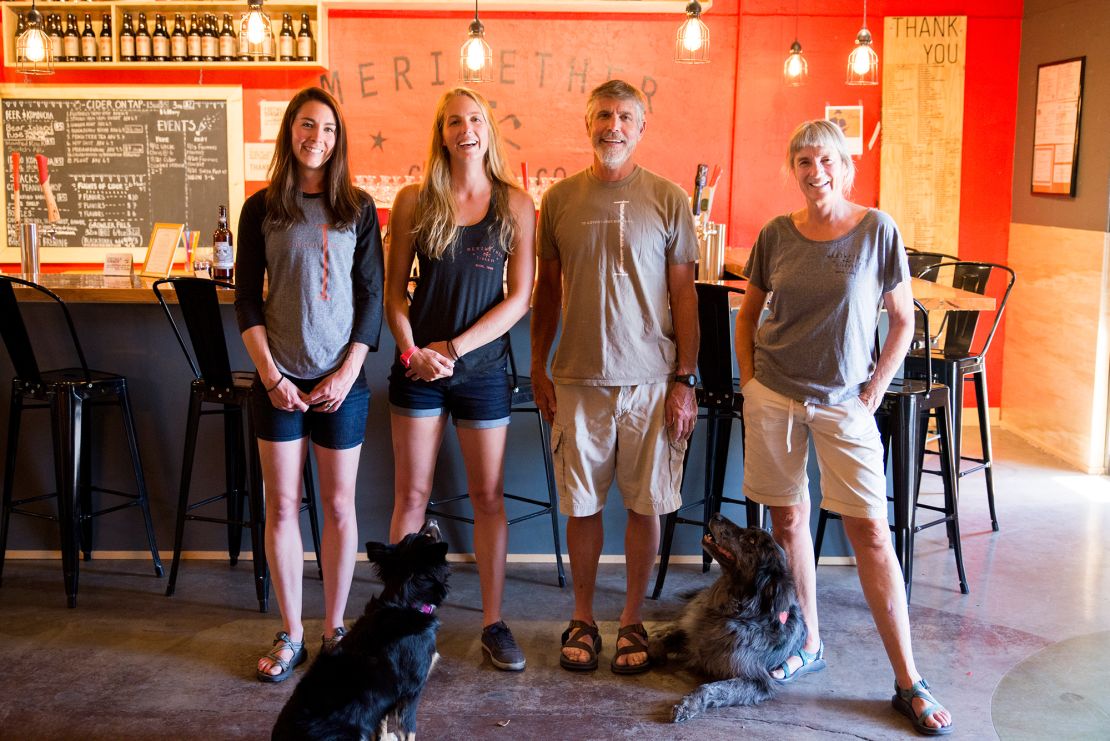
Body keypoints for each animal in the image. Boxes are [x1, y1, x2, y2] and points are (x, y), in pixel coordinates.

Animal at [273, 521, 450, 741]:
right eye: (428, 536)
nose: (431, 520)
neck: (404, 601)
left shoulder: (384, 701)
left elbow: (381, 728)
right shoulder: (410, 696)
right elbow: (409, 732)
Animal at [648, 512, 808, 718]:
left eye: (752, 540)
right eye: (750, 530)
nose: (716, 515)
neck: (733, 614)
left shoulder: (757, 681)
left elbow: (710, 688)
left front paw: (688, 705)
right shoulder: (692, 635)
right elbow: (659, 639)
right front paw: (656, 652)